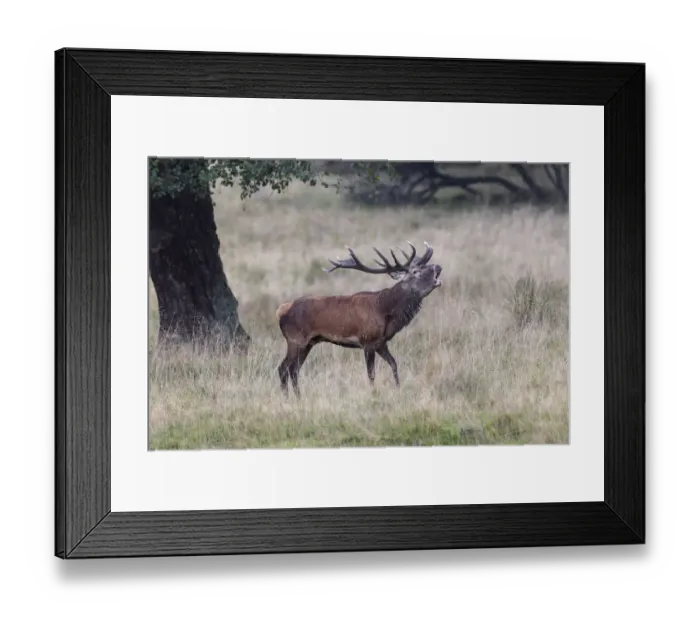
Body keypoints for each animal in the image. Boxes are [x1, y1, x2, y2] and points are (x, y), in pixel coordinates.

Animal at [275, 241, 442, 397]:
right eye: (415, 271)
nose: (438, 267)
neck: (386, 311)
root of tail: (281, 310)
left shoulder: (381, 342)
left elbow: (394, 364)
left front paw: (398, 388)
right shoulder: (367, 340)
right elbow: (371, 374)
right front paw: (374, 393)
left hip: (308, 343)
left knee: (294, 369)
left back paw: (298, 397)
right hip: (295, 339)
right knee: (283, 368)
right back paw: (288, 398)